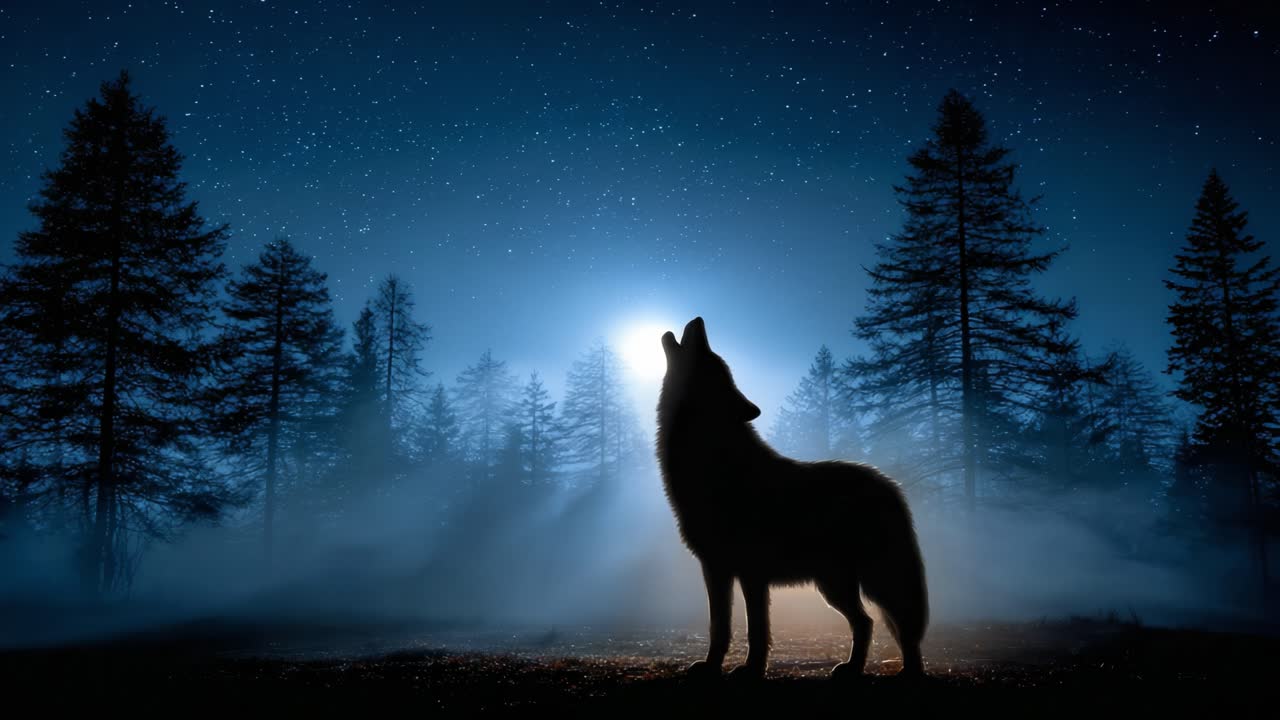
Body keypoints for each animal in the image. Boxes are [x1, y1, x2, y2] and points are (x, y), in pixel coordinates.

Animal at [655, 317, 928, 680]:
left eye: (712, 358)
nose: (699, 320)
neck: (713, 460)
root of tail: (890, 484)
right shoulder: (716, 569)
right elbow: (719, 628)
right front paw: (712, 667)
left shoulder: (751, 571)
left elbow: (757, 630)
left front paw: (752, 670)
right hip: (834, 586)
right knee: (866, 622)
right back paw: (852, 668)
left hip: (874, 579)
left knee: (901, 625)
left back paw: (909, 672)